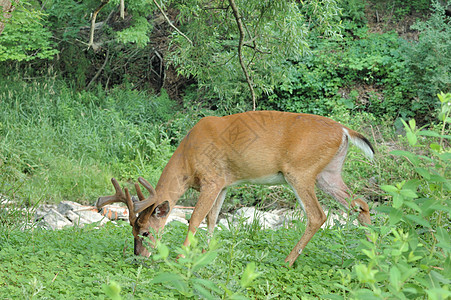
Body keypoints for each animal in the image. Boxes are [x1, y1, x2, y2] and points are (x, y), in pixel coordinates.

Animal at [98, 111, 374, 266]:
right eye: (132, 230)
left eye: (144, 232)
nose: (139, 257)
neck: (188, 160)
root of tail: (345, 131)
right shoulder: (223, 183)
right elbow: (212, 218)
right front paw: (206, 252)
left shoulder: (211, 179)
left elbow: (194, 218)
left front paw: (182, 256)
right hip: (328, 174)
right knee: (360, 203)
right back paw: (373, 252)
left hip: (300, 171)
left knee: (318, 215)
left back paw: (287, 261)